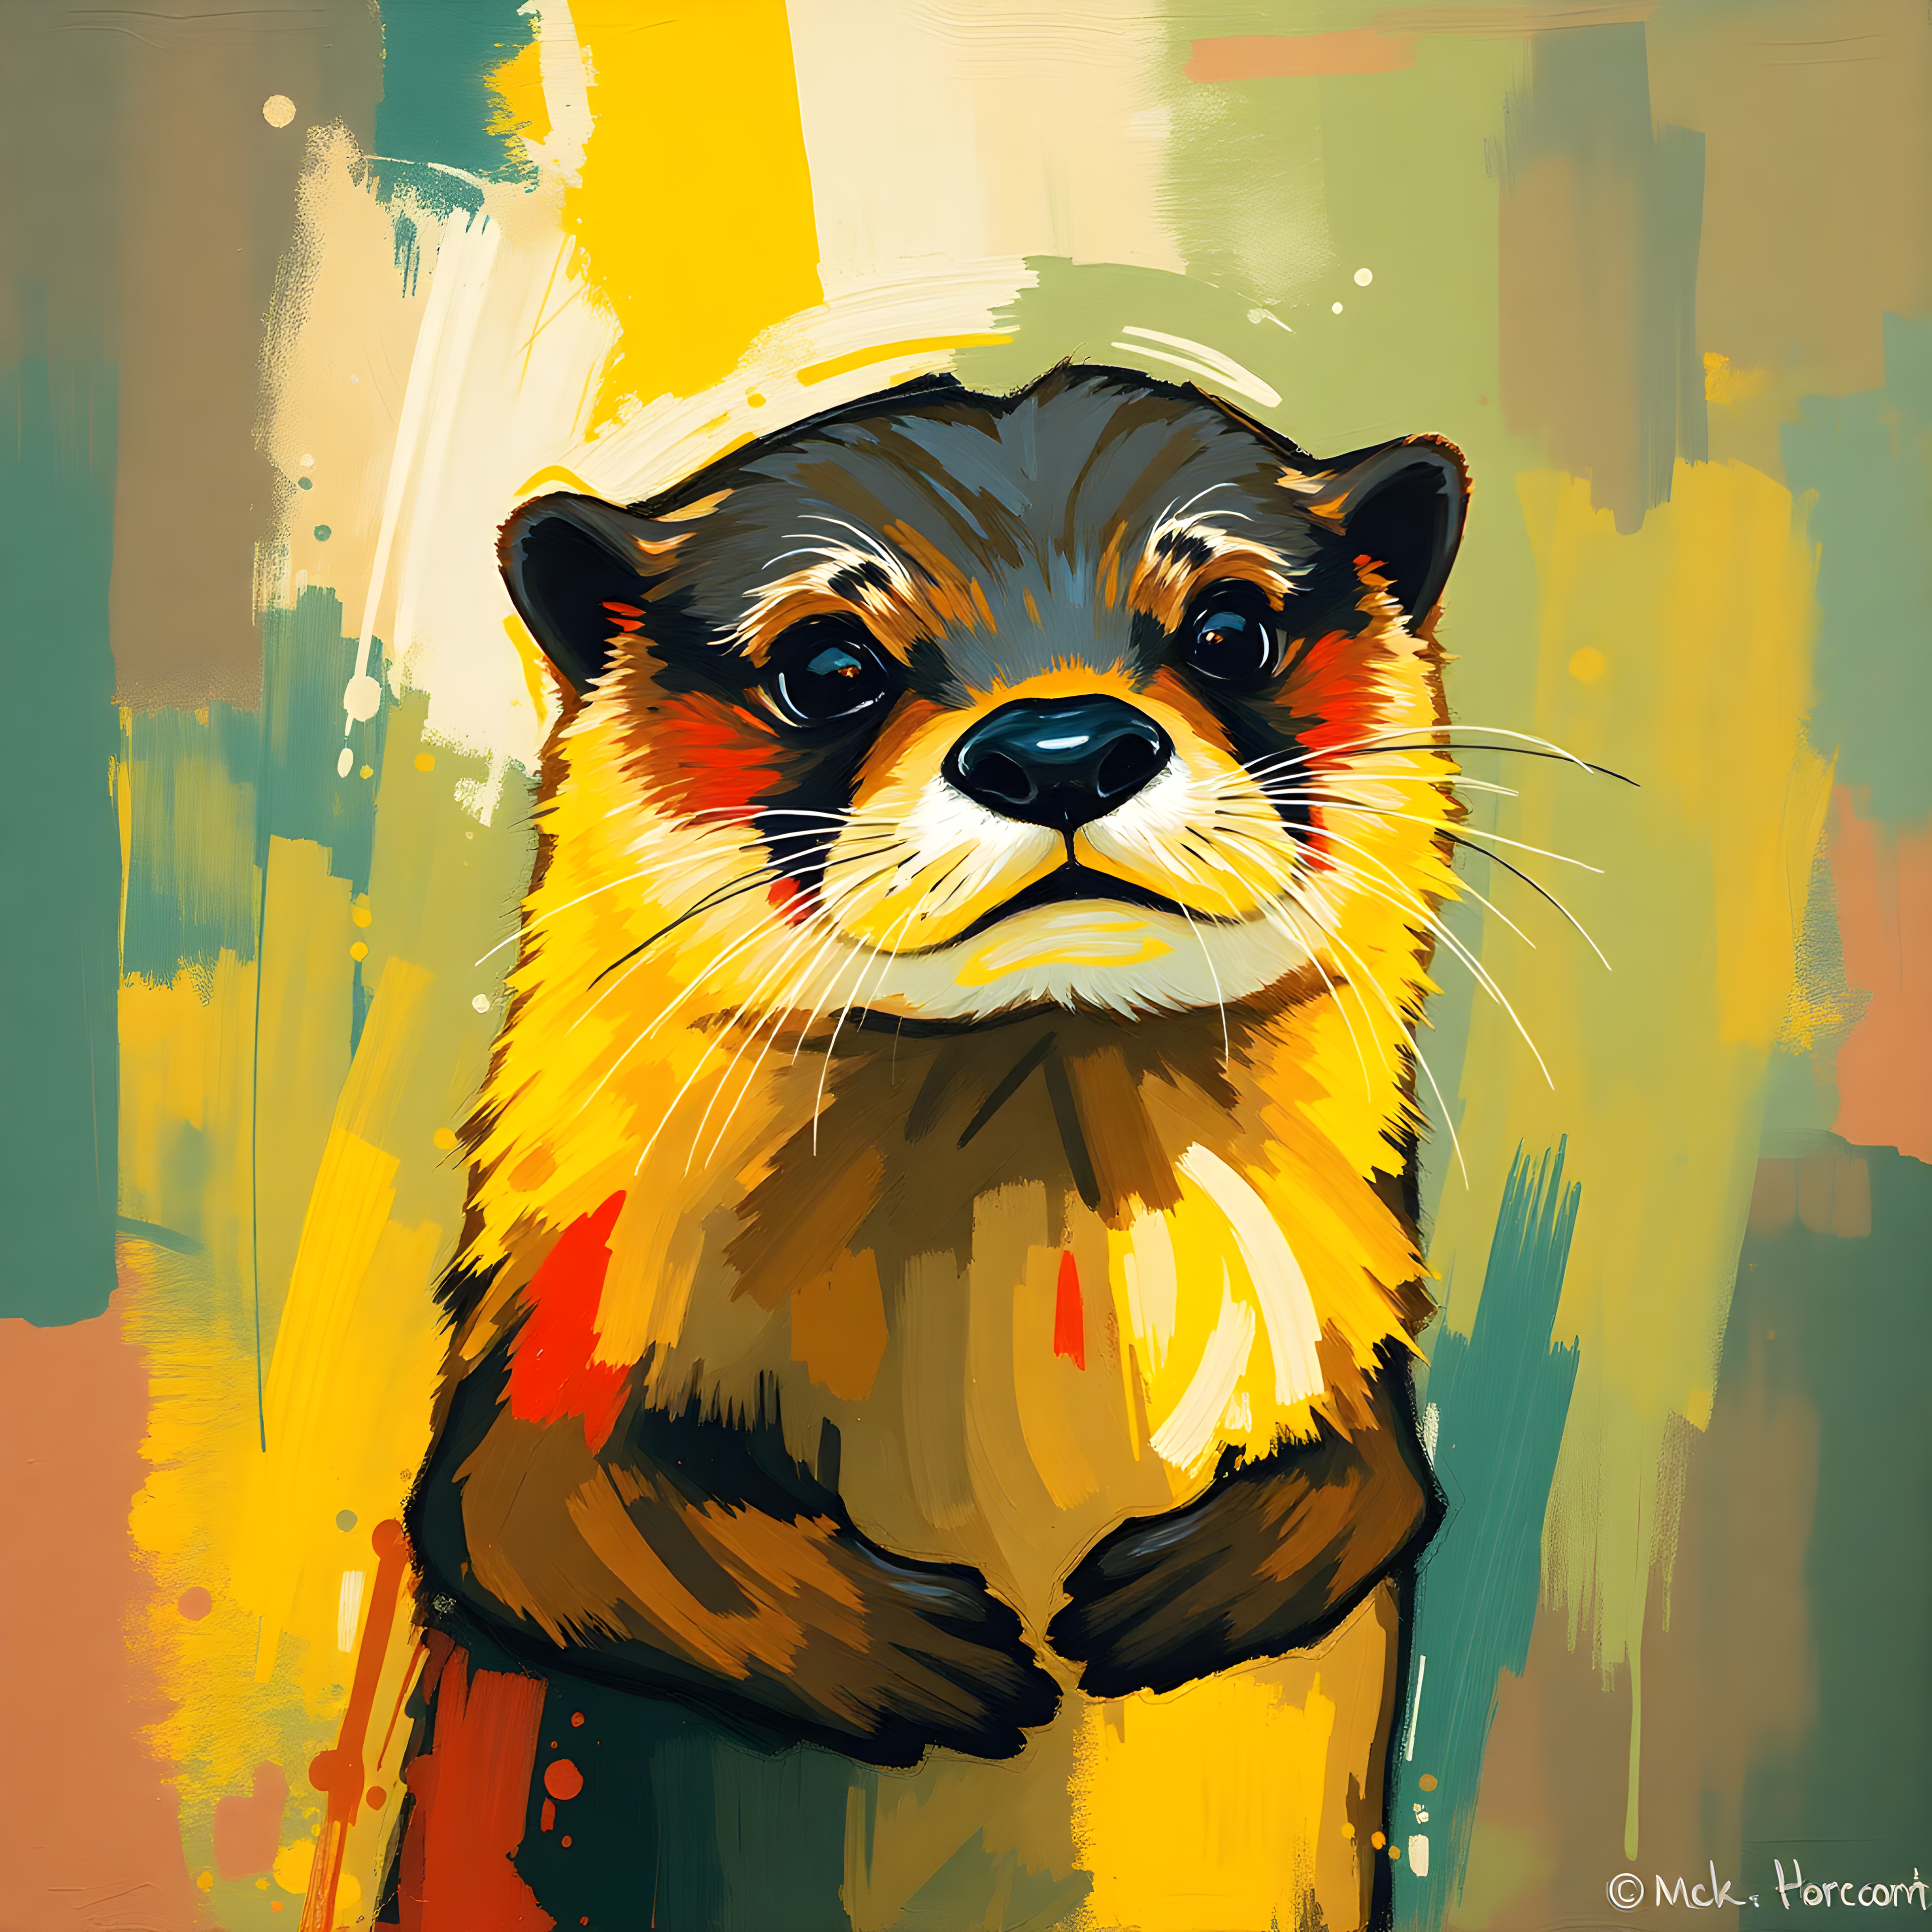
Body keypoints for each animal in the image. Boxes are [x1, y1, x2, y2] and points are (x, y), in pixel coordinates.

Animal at [402, 364, 1464, 1924]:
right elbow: (527, 1521)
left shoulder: (1346, 1312)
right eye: (828, 665)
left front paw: (1190, 1586)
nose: (1062, 749)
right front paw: (902, 1651)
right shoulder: (552, 1342)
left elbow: (1388, 1484)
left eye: (1231, 627)